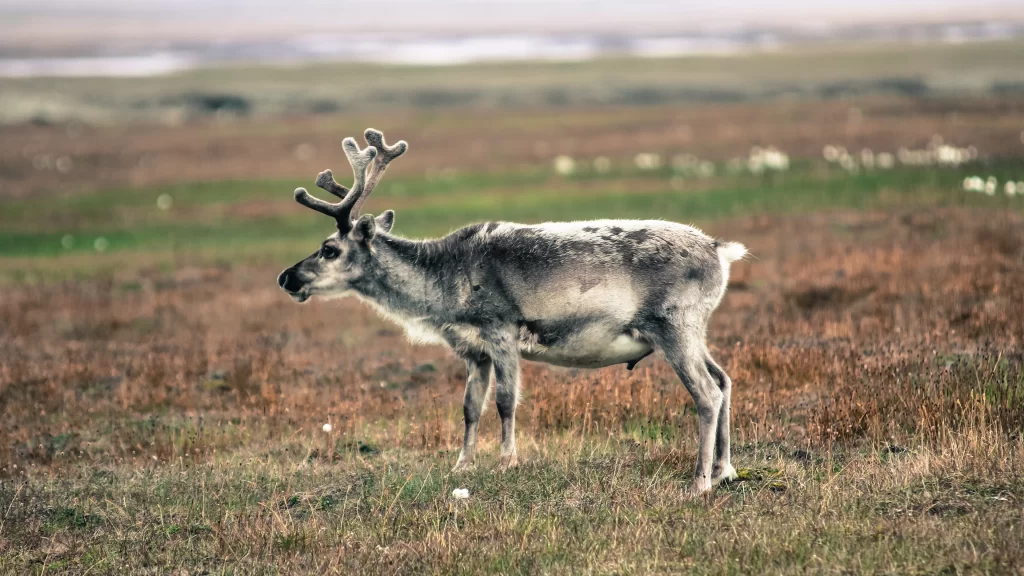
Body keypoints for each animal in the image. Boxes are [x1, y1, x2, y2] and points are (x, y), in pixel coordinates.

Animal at [277, 128, 747, 495]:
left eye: (328, 249)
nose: (286, 277)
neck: (443, 282)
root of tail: (721, 251)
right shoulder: (473, 351)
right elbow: (470, 407)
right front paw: (461, 465)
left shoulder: (501, 331)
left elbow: (505, 401)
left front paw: (507, 460)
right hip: (692, 331)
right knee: (724, 380)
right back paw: (725, 469)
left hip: (675, 326)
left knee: (706, 393)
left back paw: (700, 481)